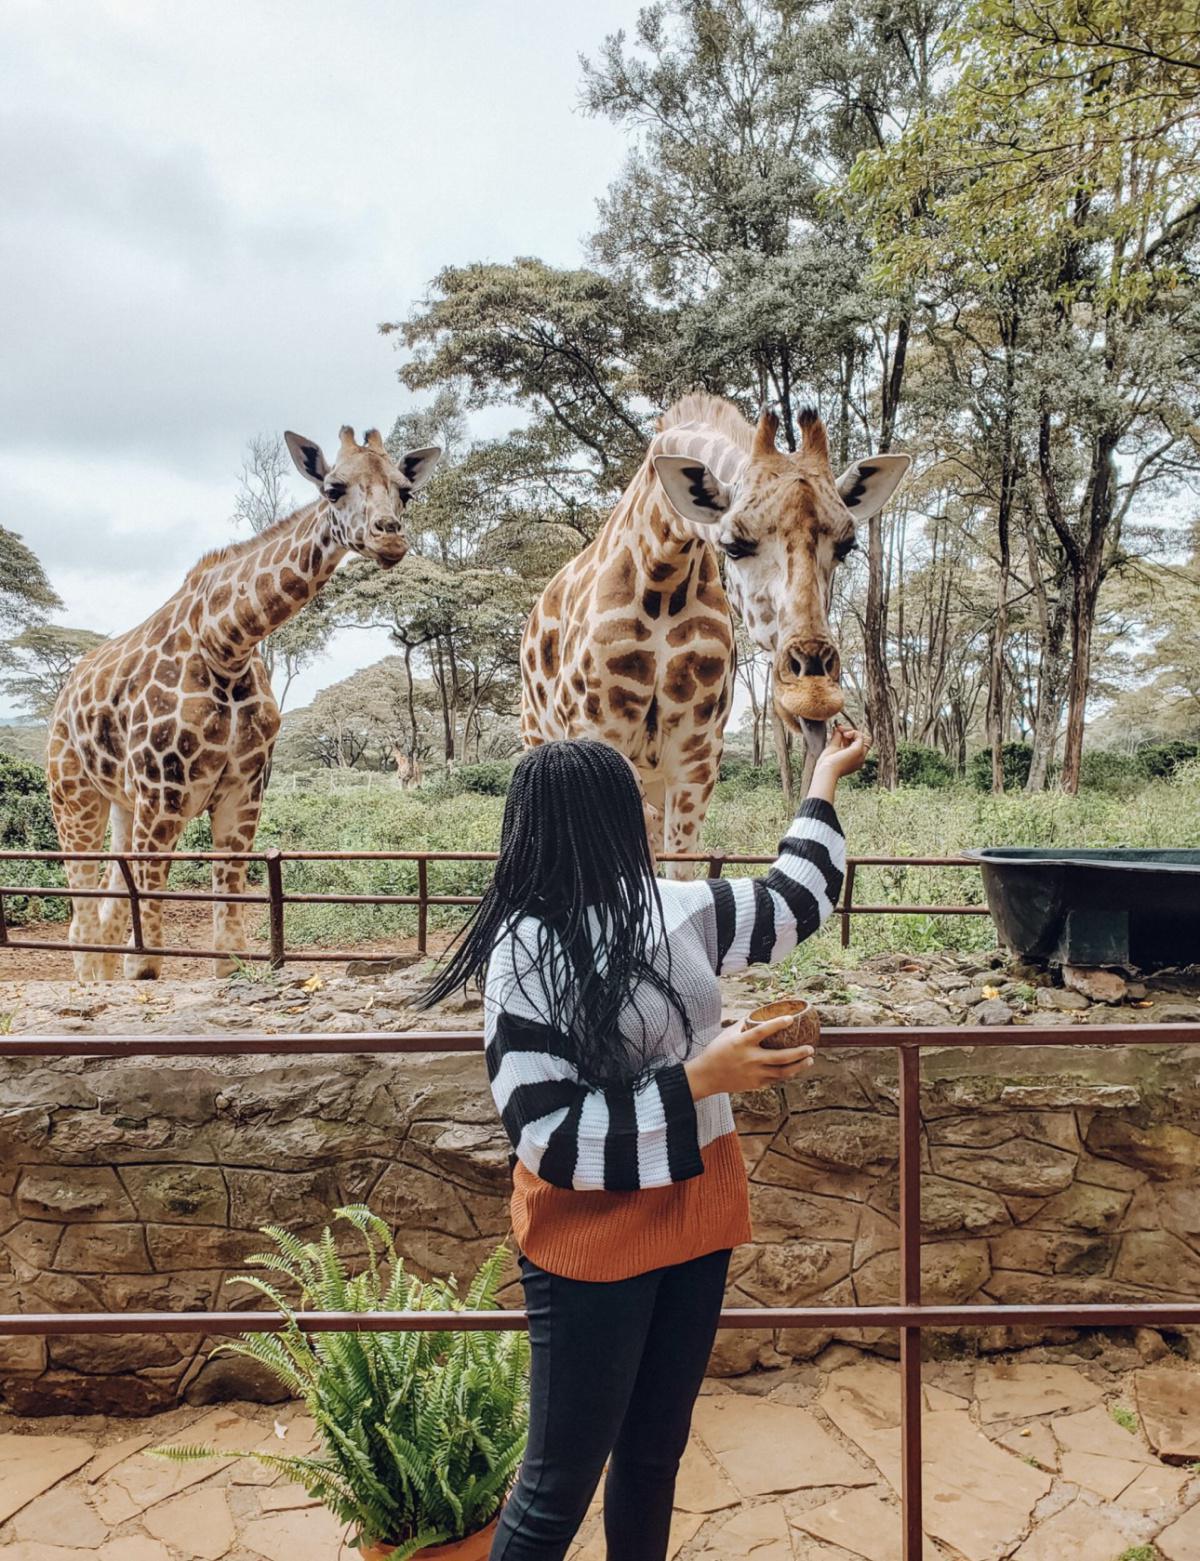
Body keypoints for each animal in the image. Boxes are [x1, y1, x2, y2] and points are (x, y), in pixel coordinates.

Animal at [47, 426, 440, 979]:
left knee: (104, 912)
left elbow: (227, 950)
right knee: (82, 917)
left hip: (122, 801)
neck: (226, 644)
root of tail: (62, 699)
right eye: (333, 489)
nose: (390, 538)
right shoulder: (162, 794)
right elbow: (145, 962)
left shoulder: (243, 791)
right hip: (74, 794)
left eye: (405, 492)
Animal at [520, 394, 909, 873]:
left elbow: (679, 866)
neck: (662, 581)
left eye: (846, 545)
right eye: (734, 545)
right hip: (538, 738)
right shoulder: (598, 737)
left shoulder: (698, 759)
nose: (812, 694)